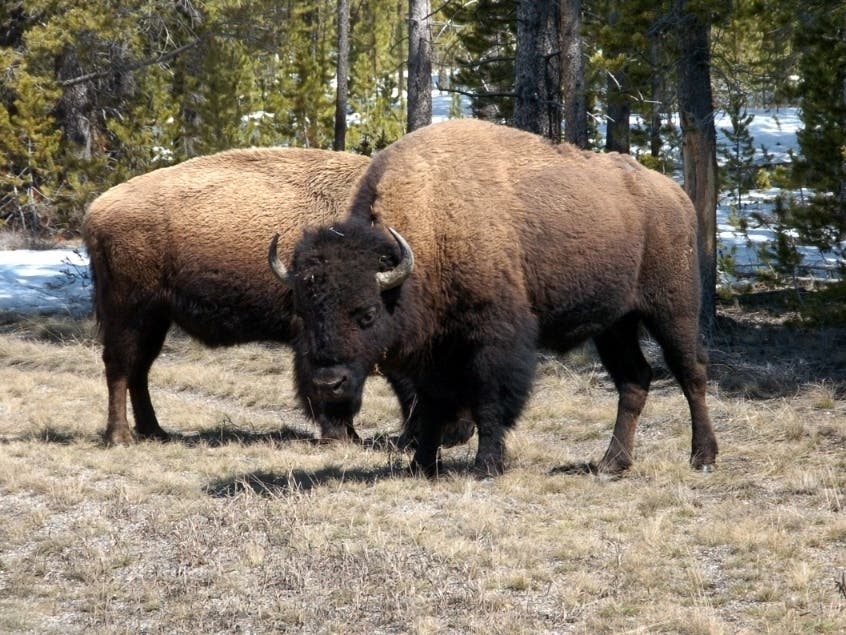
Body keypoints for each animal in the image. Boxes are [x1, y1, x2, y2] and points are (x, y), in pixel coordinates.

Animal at [83, 147, 474, 447]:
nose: (459, 433)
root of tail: (96, 210)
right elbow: (324, 383)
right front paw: (342, 436)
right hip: (129, 311)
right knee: (119, 366)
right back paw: (120, 437)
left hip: (156, 318)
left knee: (140, 369)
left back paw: (155, 431)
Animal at [269, 119, 719, 477]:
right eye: (305, 313)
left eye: (366, 314)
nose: (329, 382)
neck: (433, 226)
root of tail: (676, 195)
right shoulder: (433, 352)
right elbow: (432, 404)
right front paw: (422, 465)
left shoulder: (493, 339)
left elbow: (490, 400)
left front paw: (486, 465)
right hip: (615, 325)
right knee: (634, 380)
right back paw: (612, 462)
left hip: (672, 311)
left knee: (691, 372)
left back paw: (703, 456)